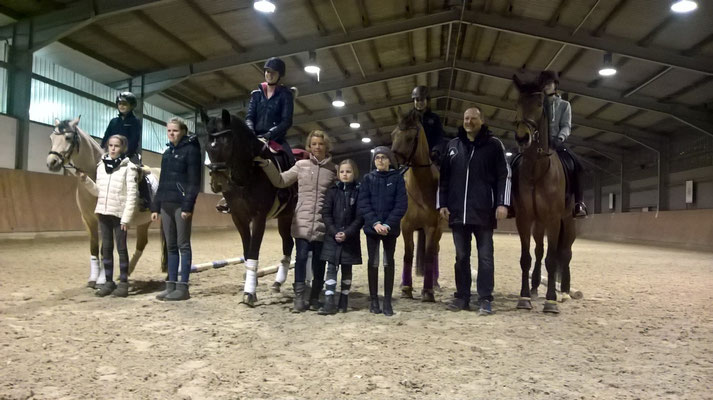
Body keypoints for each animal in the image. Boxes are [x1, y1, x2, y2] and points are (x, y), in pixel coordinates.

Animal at [46, 116, 164, 288]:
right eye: (51, 138)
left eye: (68, 138)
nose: (52, 162)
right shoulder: (88, 220)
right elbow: (94, 248)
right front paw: (93, 278)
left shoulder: (107, 219)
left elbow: (105, 249)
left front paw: (102, 280)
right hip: (145, 221)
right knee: (142, 243)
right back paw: (127, 272)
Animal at [200, 109, 294, 306]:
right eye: (206, 145)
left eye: (228, 143)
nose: (218, 184)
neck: (247, 175)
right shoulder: (238, 217)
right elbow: (247, 249)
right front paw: (253, 283)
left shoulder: (259, 217)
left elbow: (254, 250)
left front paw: (249, 292)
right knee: (289, 243)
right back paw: (277, 283)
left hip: (289, 215)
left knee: (291, 243)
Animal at [390, 108, 440, 302]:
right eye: (393, 134)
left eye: (410, 137)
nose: (393, 162)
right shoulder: (407, 226)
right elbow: (408, 254)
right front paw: (406, 288)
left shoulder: (431, 227)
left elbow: (428, 256)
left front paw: (428, 291)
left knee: (434, 252)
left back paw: (435, 284)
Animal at [508, 75, 576, 312]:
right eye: (517, 103)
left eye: (539, 104)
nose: (522, 137)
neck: (537, 169)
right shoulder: (524, 218)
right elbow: (526, 258)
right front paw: (524, 297)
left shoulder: (554, 219)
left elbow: (552, 259)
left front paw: (551, 301)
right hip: (538, 223)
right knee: (538, 250)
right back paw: (536, 286)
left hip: (568, 220)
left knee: (565, 253)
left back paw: (564, 292)